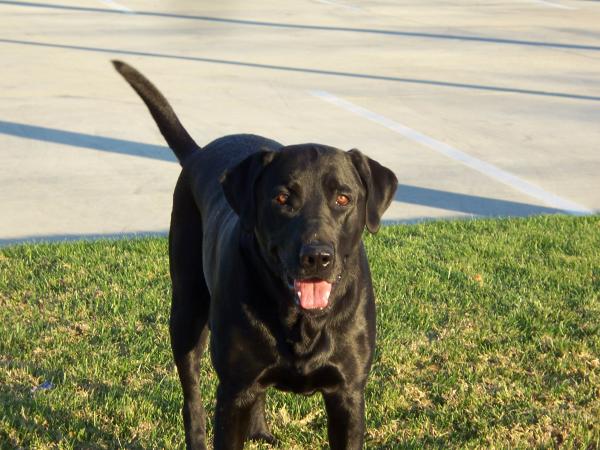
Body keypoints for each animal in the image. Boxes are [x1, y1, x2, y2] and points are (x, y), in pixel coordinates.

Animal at [113, 60, 398, 450]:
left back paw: (260, 430)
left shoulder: (348, 394)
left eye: (343, 198)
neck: (301, 321)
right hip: (186, 310)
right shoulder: (234, 391)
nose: (317, 257)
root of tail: (198, 153)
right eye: (282, 198)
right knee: (192, 397)